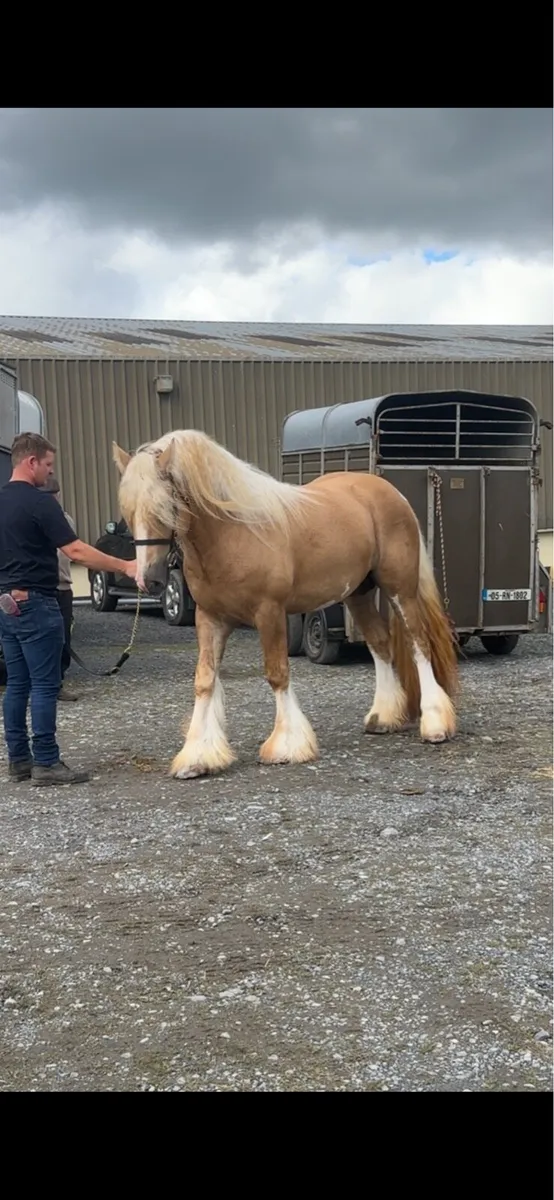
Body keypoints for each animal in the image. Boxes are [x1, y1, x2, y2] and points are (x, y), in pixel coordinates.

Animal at [112, 429, 459, 780]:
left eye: (164, 507)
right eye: (128, 510)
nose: (149, 580)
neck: (233, 533)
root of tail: (391, 493)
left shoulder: (270, 612)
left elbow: (277, 674)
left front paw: (287, 745)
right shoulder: (210, 618)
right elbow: (204, 680)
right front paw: (197, 756)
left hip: (400, 589)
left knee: (418, 644)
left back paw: (435, 724)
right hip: (357, 594)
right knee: (380, 644)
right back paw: (383, 717)